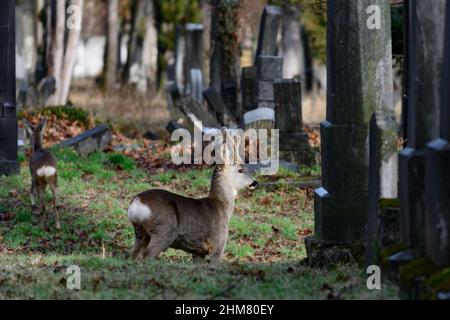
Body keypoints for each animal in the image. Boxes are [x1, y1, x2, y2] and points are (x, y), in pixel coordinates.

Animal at [128, 128, 258, 264]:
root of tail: (137, 203)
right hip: (164, 230)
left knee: (133, 254)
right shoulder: (218, 244)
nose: (255, 183)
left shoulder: (197, 252)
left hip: (140, 232)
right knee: (147, 255)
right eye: (241, 170)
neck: (221, 205)